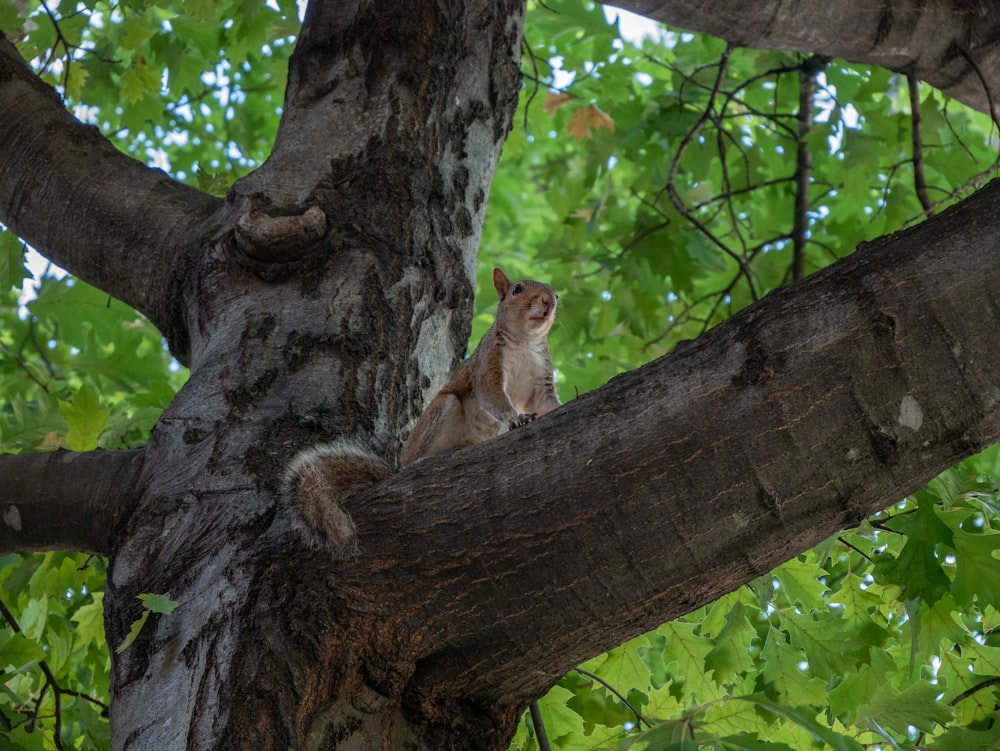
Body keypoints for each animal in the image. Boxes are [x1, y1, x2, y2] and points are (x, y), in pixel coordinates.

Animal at [286, 268, 564, 556]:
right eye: (517, 289)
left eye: (556, 295)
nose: (548, 302)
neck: (524, 343)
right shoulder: (487, 364)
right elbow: (492, 395)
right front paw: (516, 417)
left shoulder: (539, 381)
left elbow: (545, 404)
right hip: (443, 408)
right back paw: (421, 461)